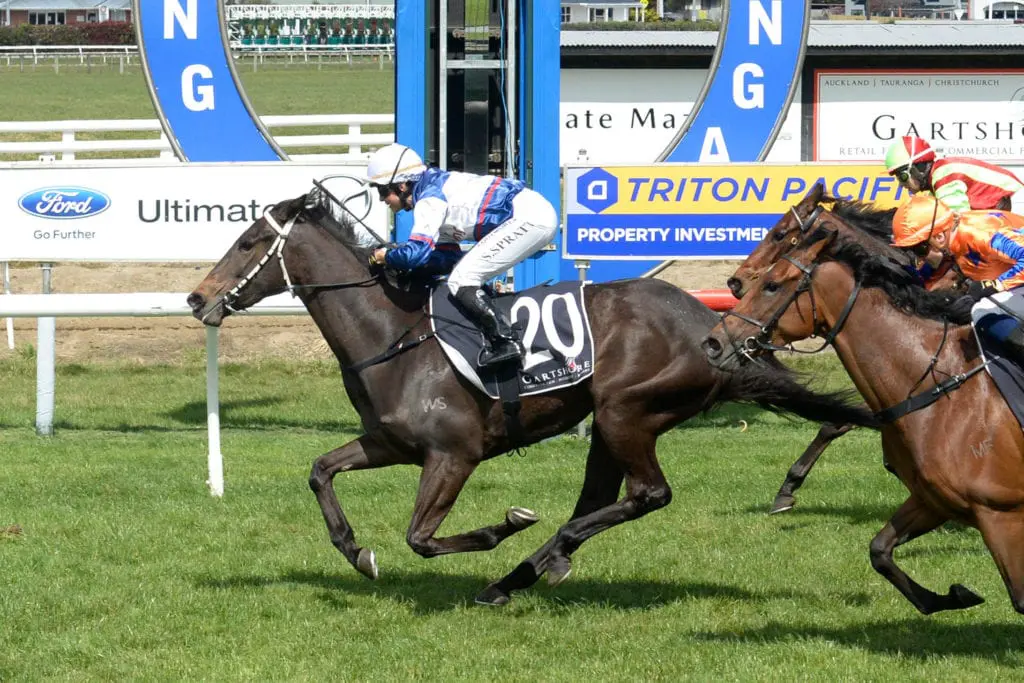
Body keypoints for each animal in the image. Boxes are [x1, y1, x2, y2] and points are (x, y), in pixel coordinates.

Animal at [186, 194, 880, 606]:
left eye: (248, 242)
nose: (197, 298)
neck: (393, 337)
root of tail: (717, 328)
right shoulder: (390, 443)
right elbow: (320, 471)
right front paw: (356, 553)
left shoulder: (454, 455)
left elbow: (421, 537)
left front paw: (504, 526)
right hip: (611, 422)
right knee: (603, 499)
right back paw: (532, 569)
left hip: (626, 411)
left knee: (648, 495)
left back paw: (532, 560)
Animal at [700, 218, 1024, 614]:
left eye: (772, 284)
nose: (713, 343)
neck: (938, 385)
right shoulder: (934, 500)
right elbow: (879, 551)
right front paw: (951, 596)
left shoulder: (1001, 514)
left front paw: (788, 489)